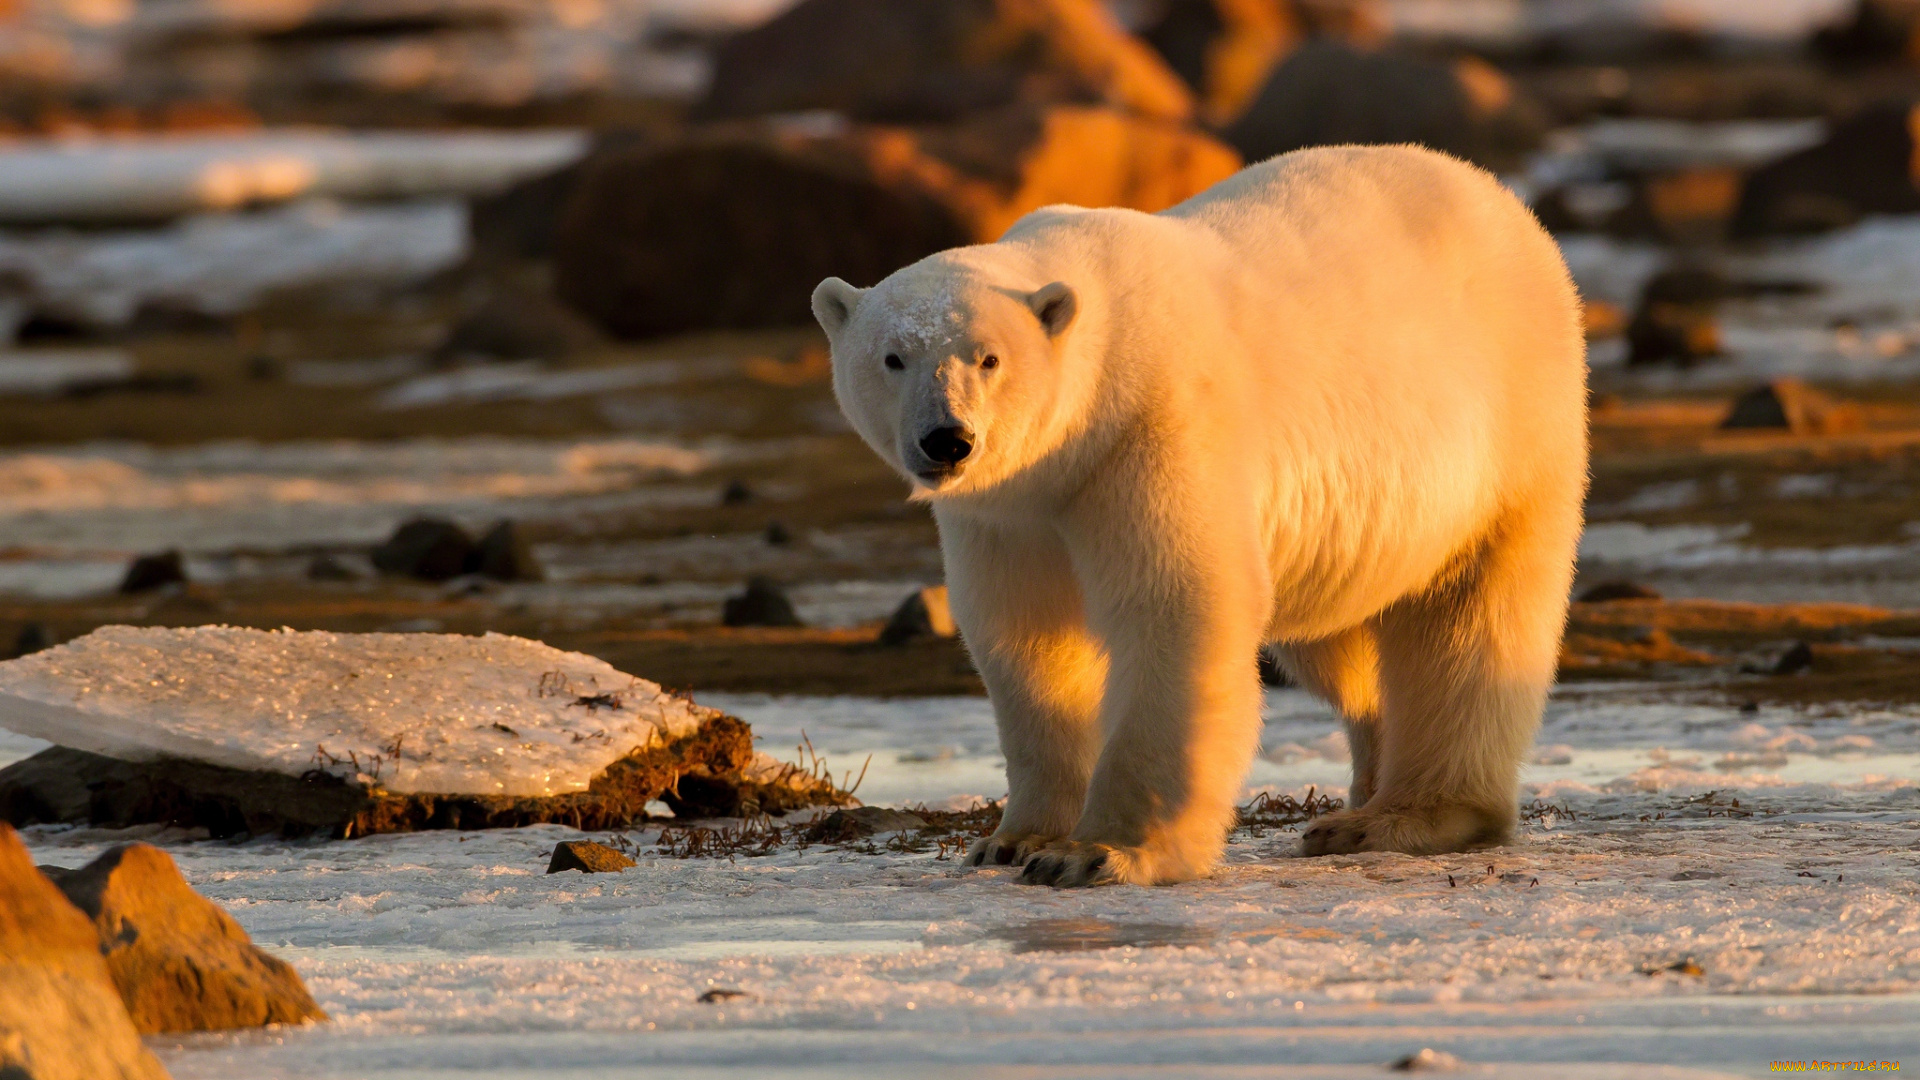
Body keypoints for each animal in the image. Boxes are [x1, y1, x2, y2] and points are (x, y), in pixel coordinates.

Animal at [810, 143, 1589, 883]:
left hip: (1511, 433)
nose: (947, 439)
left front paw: (1097, 854)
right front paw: (1013, 840)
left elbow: (1176, 607)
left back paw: (1404, 817)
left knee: (1469, 622)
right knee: (1341, 643)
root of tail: (1503, 202)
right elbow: (1024, 639)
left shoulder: (1151, 430)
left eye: (988, 358)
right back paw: (1360, 799)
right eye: (892, 358)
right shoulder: (1008, 513)